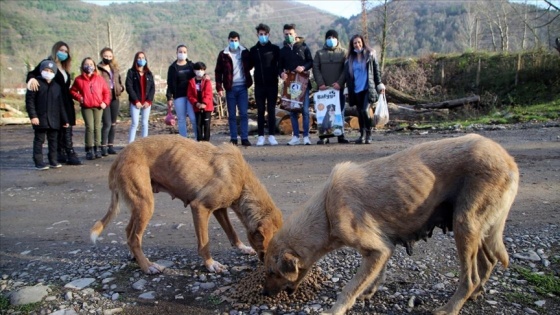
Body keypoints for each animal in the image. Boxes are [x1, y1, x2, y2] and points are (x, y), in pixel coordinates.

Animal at [93, 135, 284, 274]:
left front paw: (242, 248)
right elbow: (204, 243)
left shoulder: (220, 209)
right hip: (145, 204)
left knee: (129, 232)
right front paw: (210, 264)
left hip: (139, 205)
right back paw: (148, 266)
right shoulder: (200, 207)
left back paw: (137, 258)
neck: (242, 179)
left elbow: (232, 232)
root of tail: (119, 157)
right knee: (134, 238)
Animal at [264, 135, 520, 315]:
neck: (326, 209)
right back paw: (475, 294)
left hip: (464, 225)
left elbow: (349, 287)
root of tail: (509, 160)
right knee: (488, 261)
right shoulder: (384, 248)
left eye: (272, 272)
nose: (265, 294)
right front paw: (368, 291)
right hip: (478, 228)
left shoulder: (378, 250)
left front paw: (336, 309)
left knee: (470, 278)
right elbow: (374, 277)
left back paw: (452, 307)